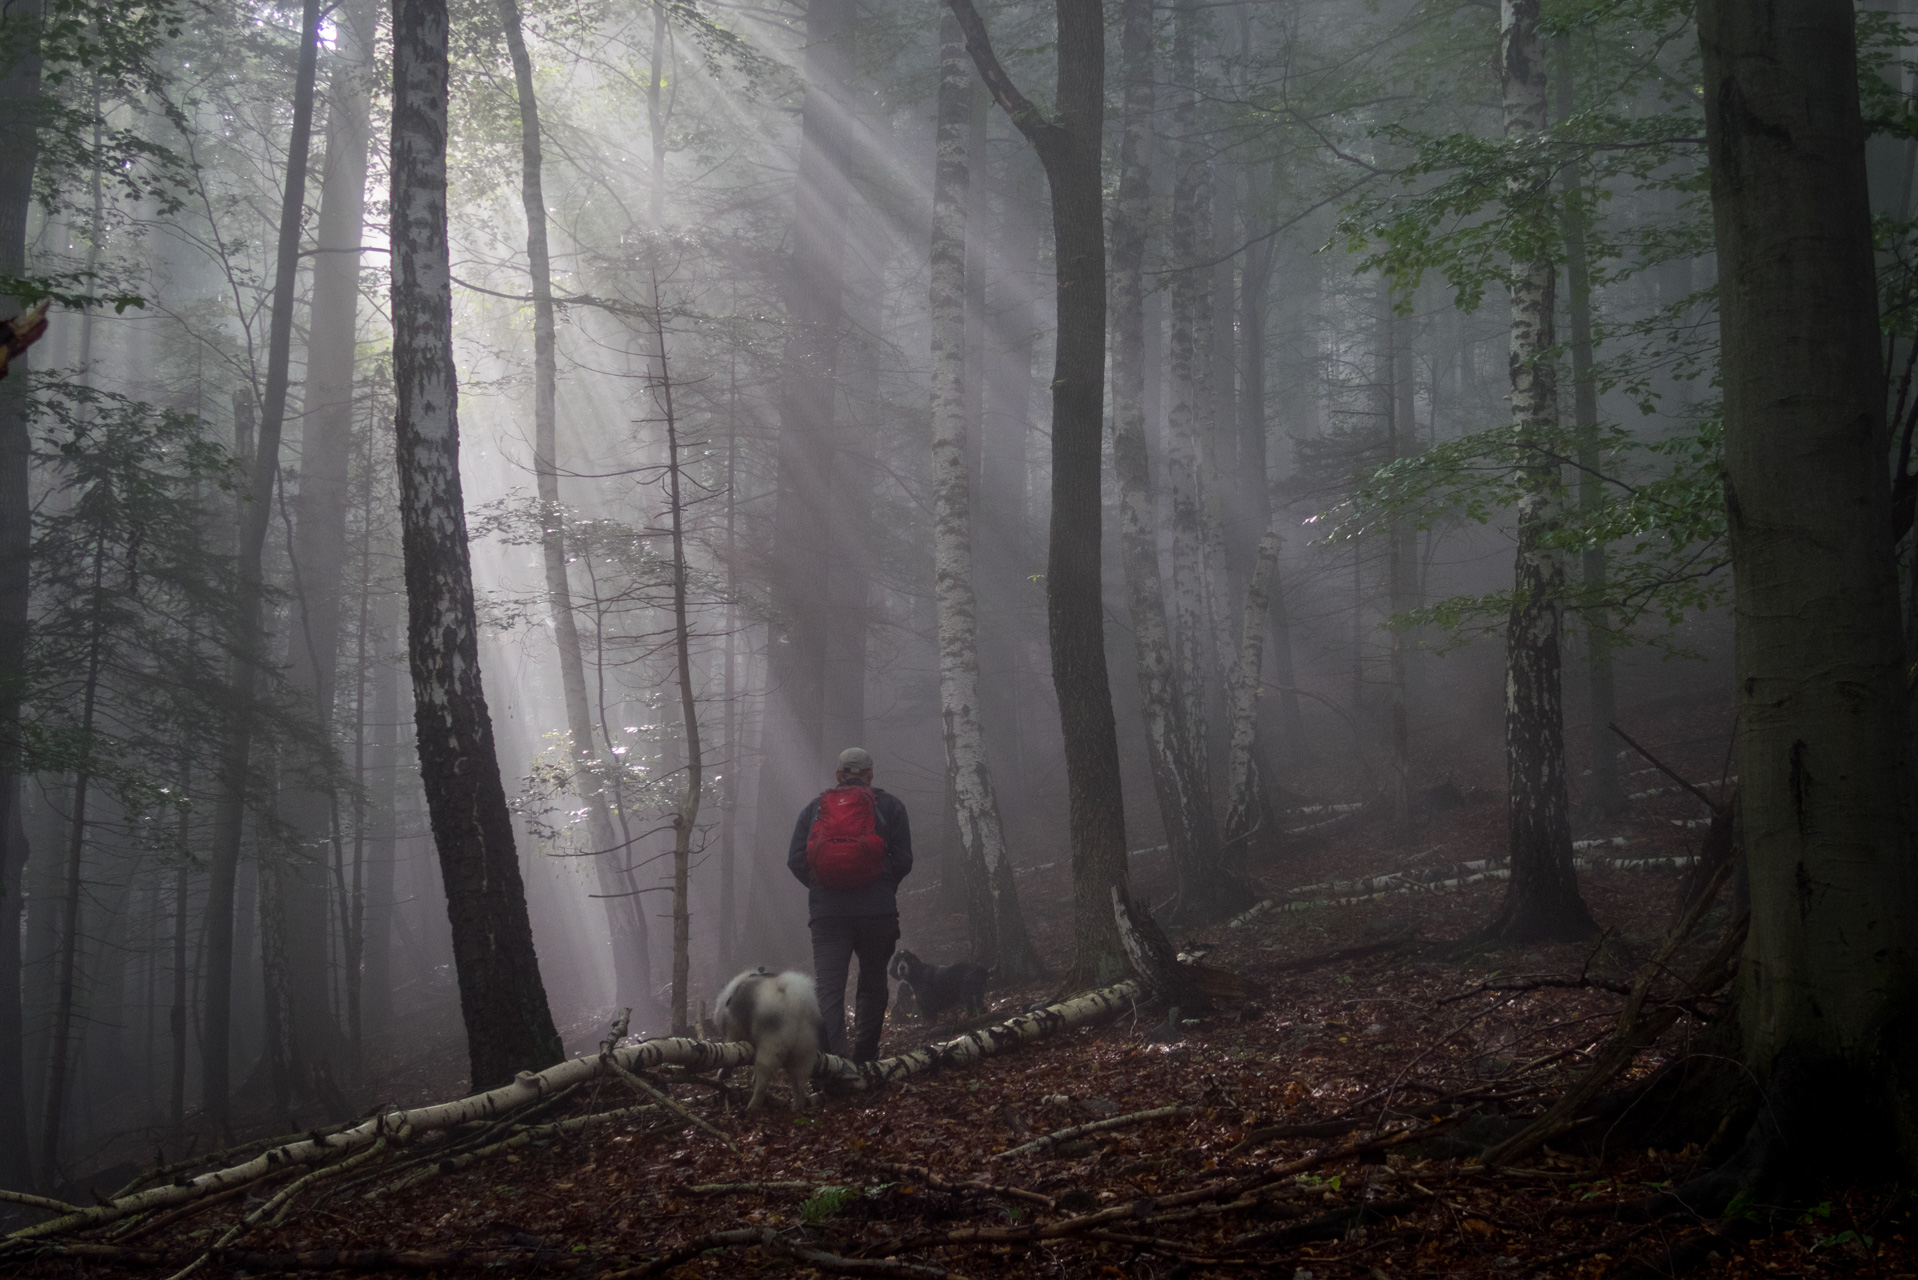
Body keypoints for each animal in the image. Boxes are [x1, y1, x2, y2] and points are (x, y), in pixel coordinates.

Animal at [713, 967, 817, 1105]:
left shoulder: (734, 1030)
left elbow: (730, 1054)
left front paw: (722, 1073)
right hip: (802, 1054)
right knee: (799, 1084)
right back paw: (797, 1106)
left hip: (769, 1050)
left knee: (763, 1082)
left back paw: (752, 1106)